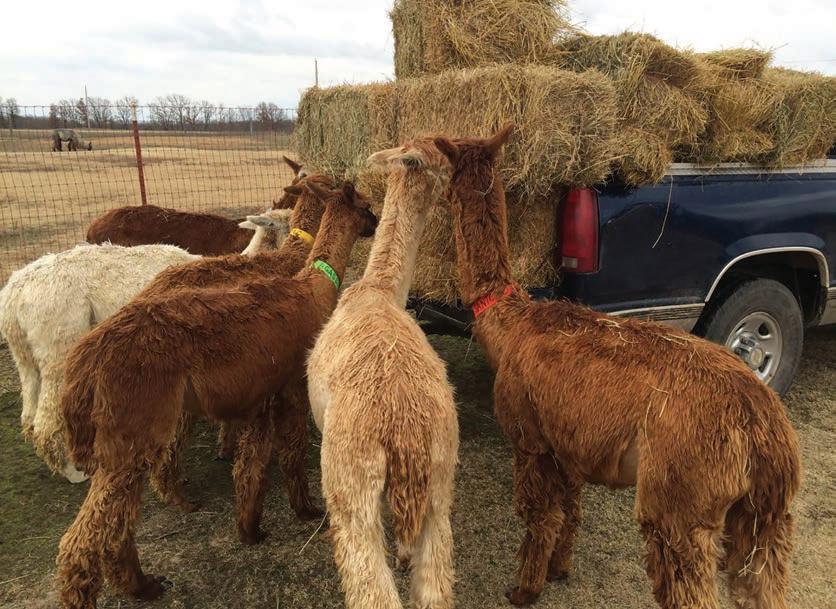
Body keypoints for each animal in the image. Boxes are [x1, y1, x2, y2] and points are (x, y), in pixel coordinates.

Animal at [56, 179, 377, 609]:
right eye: (367, 206)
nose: (376, 222)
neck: (312, 286)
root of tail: (87, 359)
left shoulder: (262, 395)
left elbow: (250, 466)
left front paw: (250, 529)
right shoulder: (292, 388)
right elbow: (291, 454)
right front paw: (307, 511)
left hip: (134, 432)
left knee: (116, 522)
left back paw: (140, 582)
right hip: (135, 428)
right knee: (88, 535)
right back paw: (135, 581)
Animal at [307, 139, 458, 609]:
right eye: (442, 161)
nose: (455, 180)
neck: (380, 289)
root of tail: (404, 427)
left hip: (350, 484)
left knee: (371, 589)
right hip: (440, 483)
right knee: (434, 588)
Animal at [434, 125, 800, 609]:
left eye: (445, 172)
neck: (509, 324)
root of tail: (764, 426)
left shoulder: (530, 438)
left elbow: (539, 518)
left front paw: (523, 589)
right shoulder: (567, 442)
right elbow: (570, 514)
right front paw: (559, 569)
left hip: (681, 500)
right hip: (764, 517)